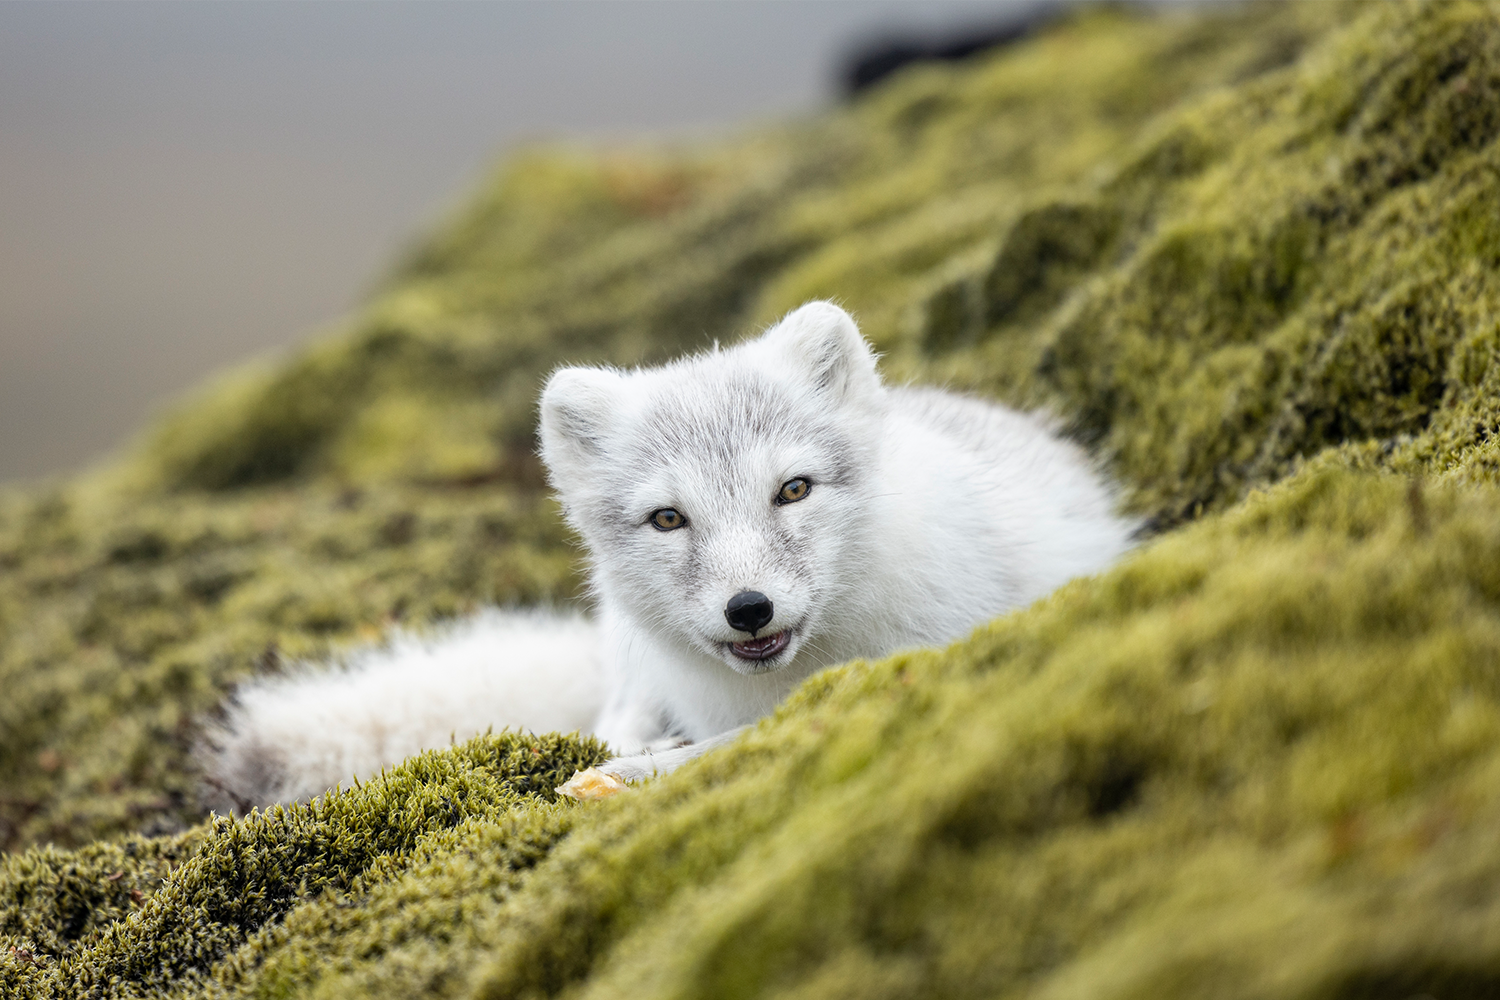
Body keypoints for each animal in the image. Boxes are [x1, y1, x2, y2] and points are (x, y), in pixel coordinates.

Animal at [199, 301, 1134, 809]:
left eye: (793, 490)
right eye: (667, 519)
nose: (748, 609)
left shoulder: (928, 649)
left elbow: (731, 745)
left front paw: (639, 776)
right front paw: (624, 765)